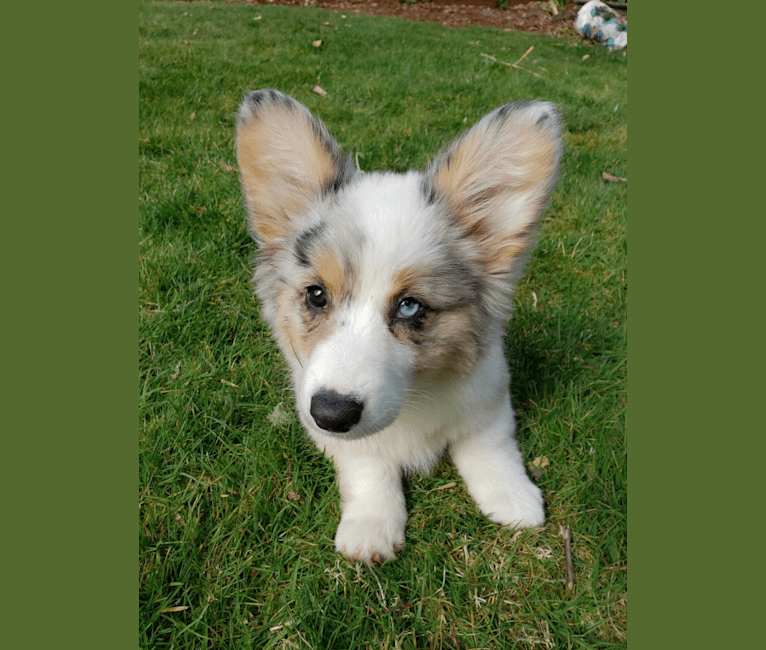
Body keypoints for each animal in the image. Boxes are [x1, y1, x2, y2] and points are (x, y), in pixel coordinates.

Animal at [236, 88, 564, 560]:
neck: (413, 397)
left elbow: (491, 448)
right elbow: (368, 468)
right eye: (316, 295)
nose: (331, 414)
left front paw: (514, 500)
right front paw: (371, 527)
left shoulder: (489, 397)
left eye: (410, 307)